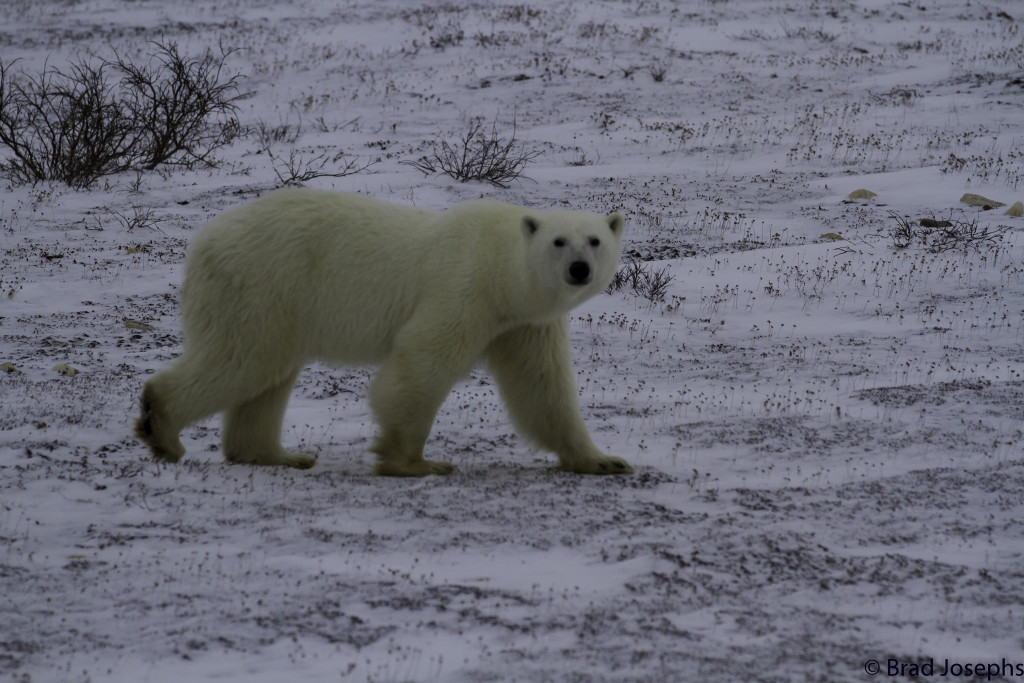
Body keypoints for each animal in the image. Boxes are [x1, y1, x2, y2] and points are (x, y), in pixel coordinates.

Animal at [134, 188, 633, 477]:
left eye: (594, 240)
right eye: (558, 241)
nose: (579, 269)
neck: (501, 269)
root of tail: (204, 238)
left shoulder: (525, 323)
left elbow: (542, 387)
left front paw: (603, 459)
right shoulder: (464, 288)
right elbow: (422, 362)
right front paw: (415, 461)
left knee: (267, 374)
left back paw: (277, 454)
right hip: (264, 282)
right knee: (243, 358)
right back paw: (163, 429)